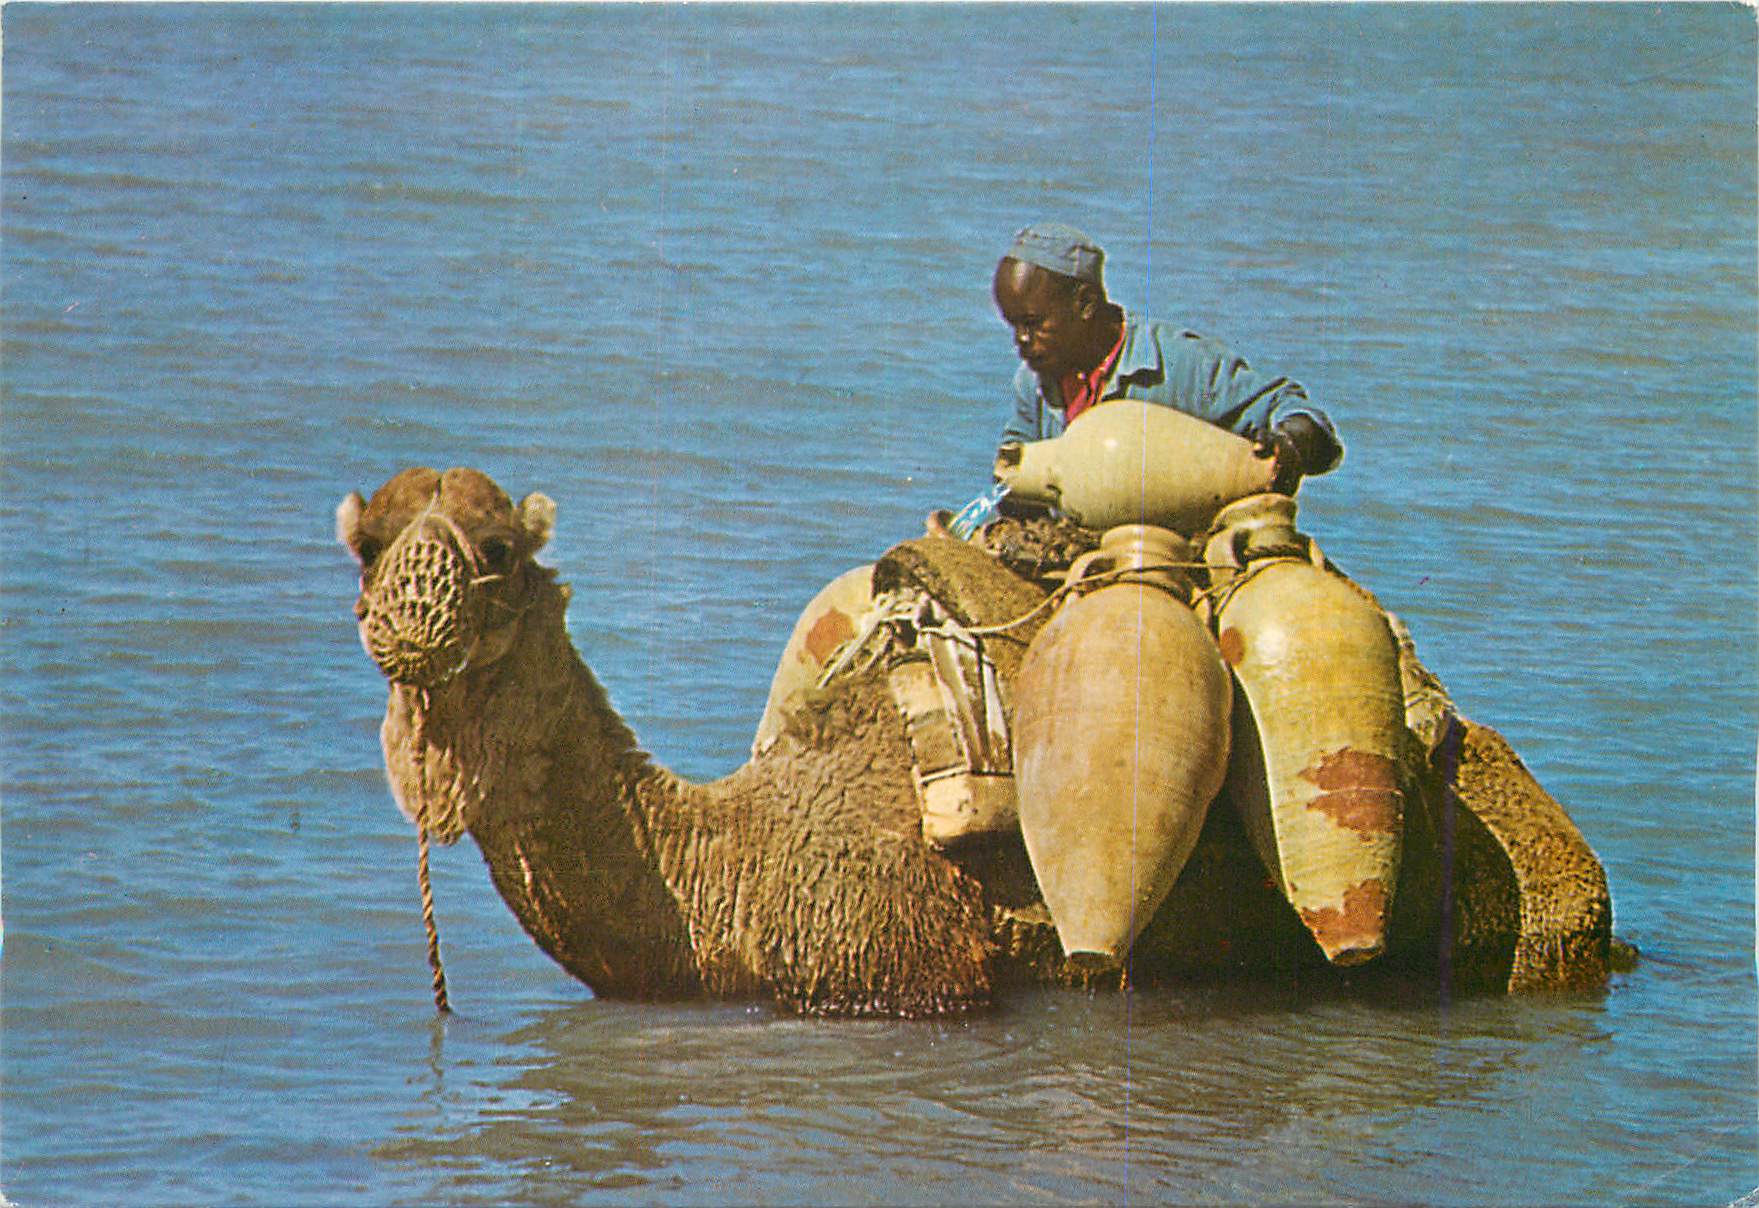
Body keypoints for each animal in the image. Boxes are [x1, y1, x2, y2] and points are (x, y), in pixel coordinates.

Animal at [337, 466, 1619, 1018]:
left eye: (498, 549)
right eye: (368, 541)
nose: (410, 620)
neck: (732, 873)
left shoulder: (907, 977)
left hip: (1531, 929)